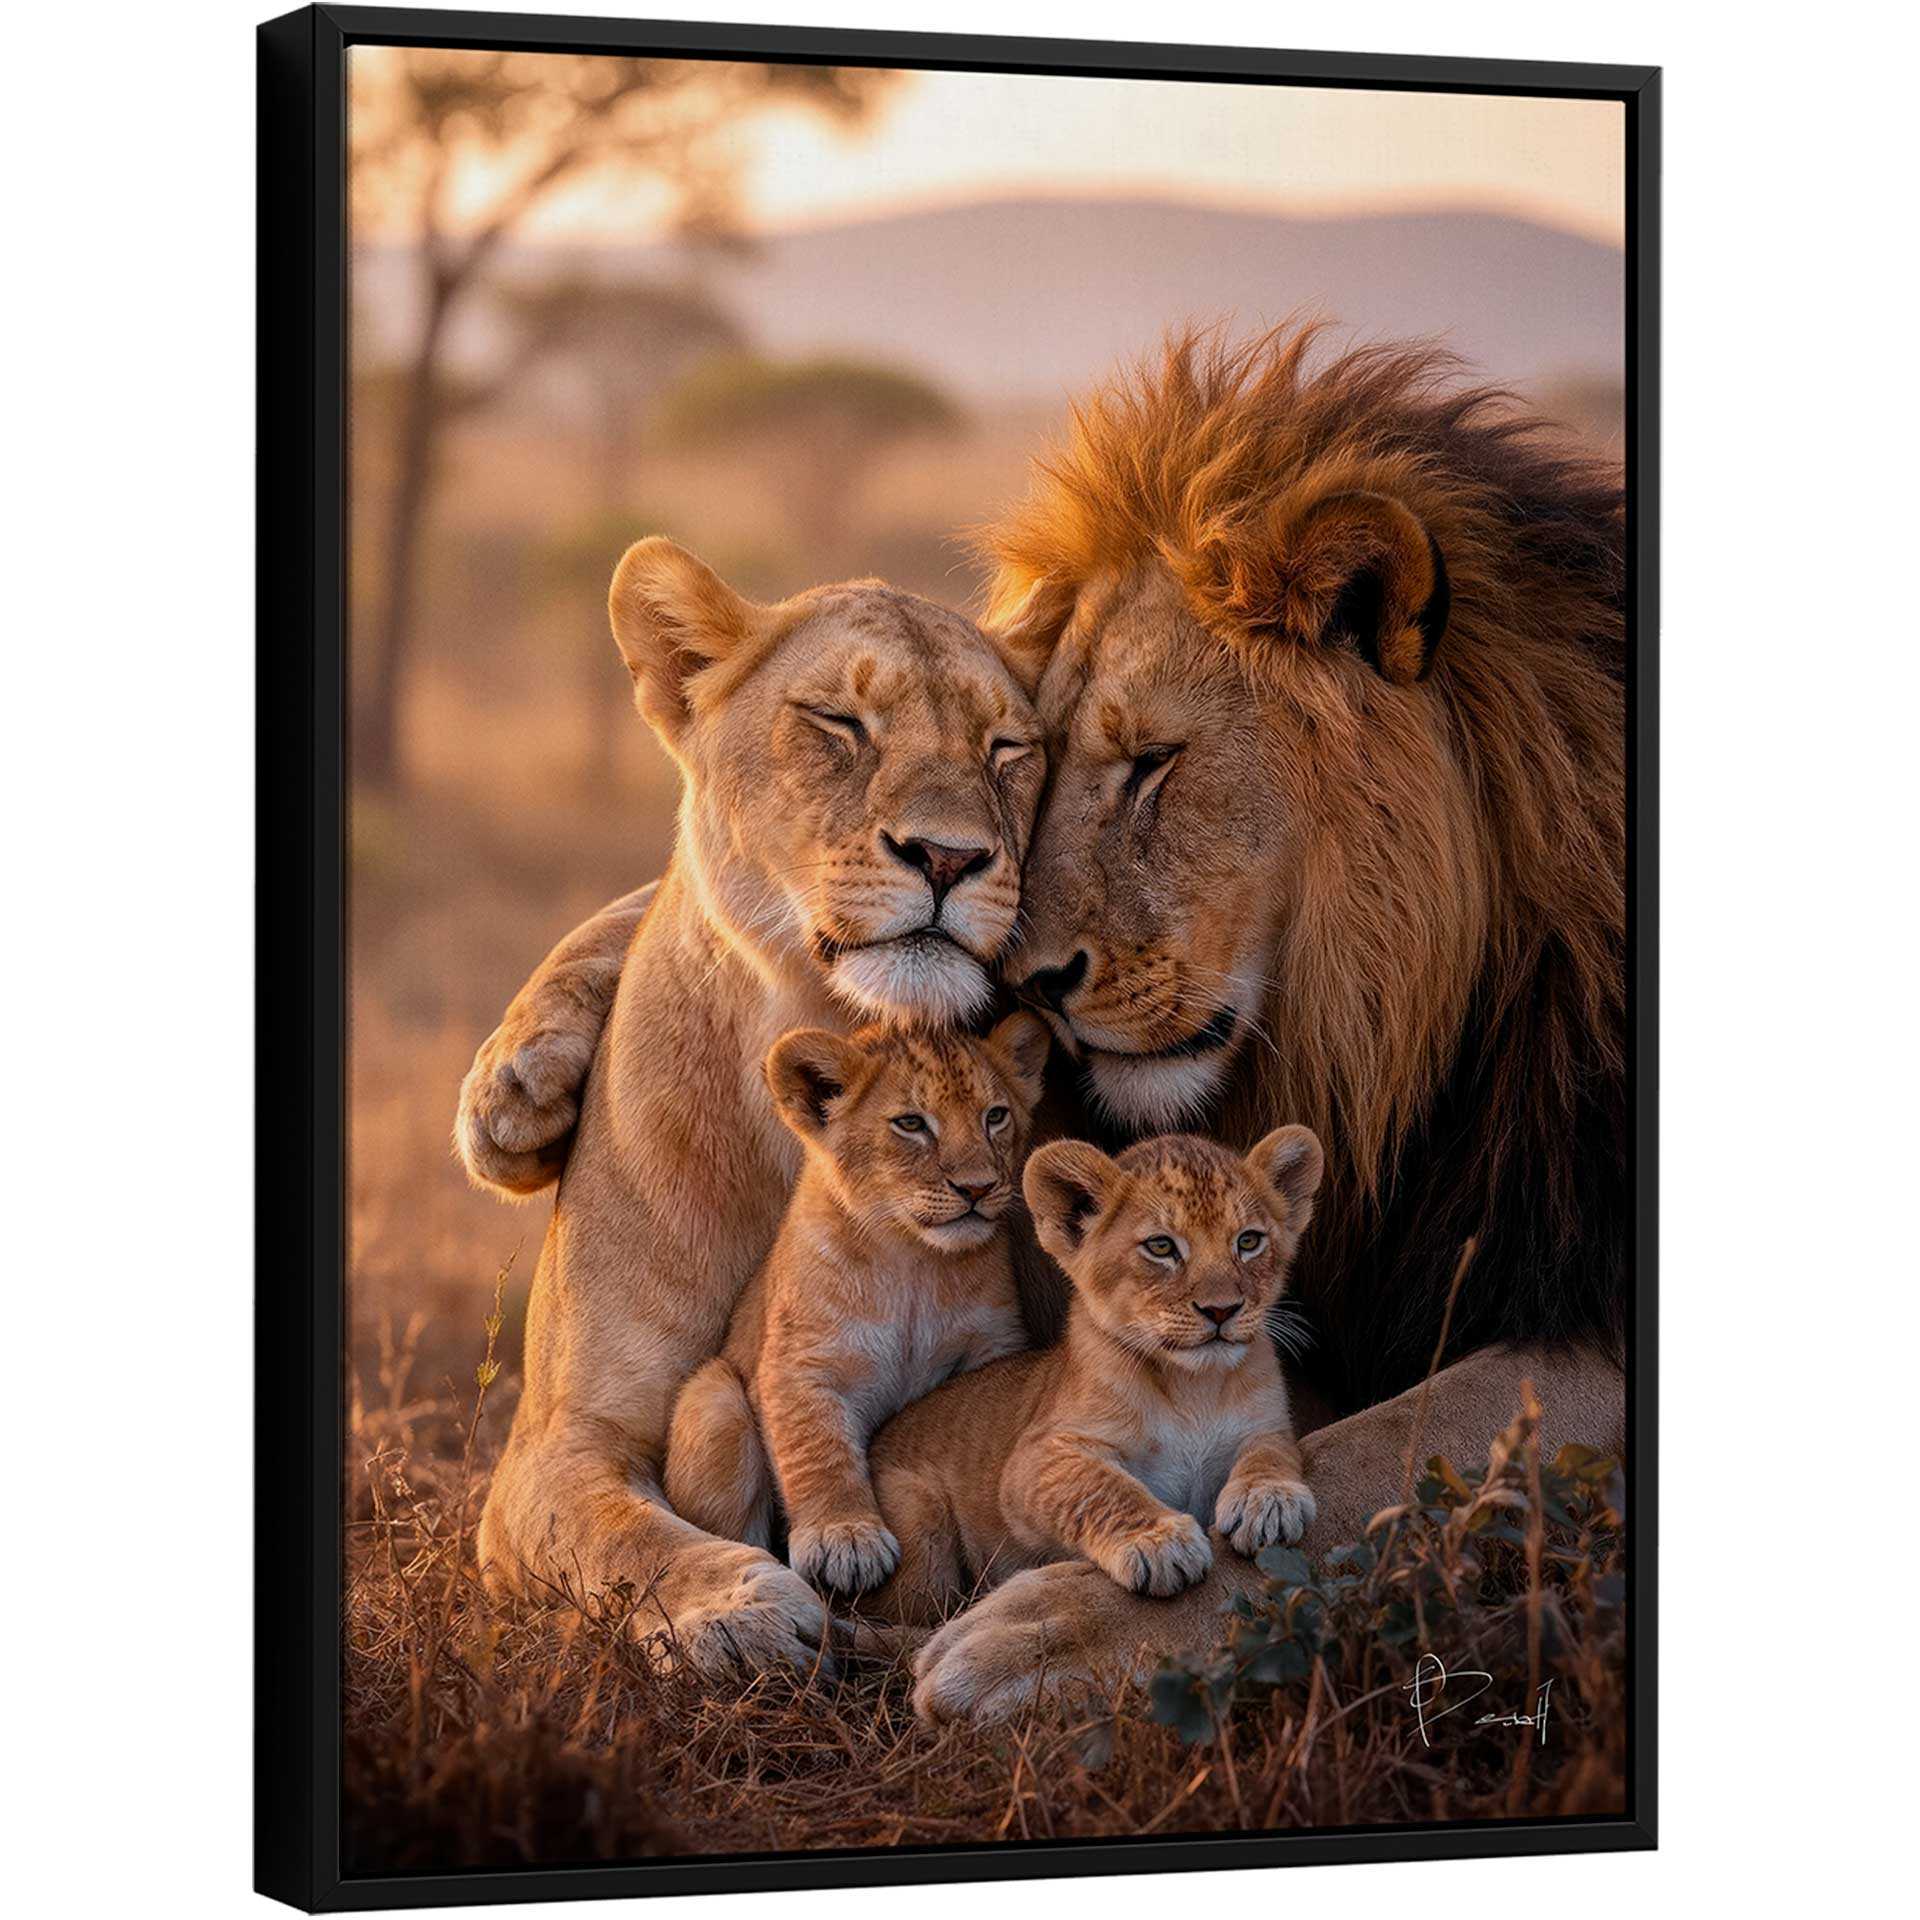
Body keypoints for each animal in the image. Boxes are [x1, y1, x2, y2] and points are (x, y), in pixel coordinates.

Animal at [663, 1015, 1048, 1596]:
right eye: (911, 1124)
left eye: (995, 1116)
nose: (978, 1188)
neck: (914, 1262)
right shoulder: (801, 1365)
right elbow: (818, 1451)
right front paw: (845, 1541)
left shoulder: (991, 1346)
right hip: (715, 1398)